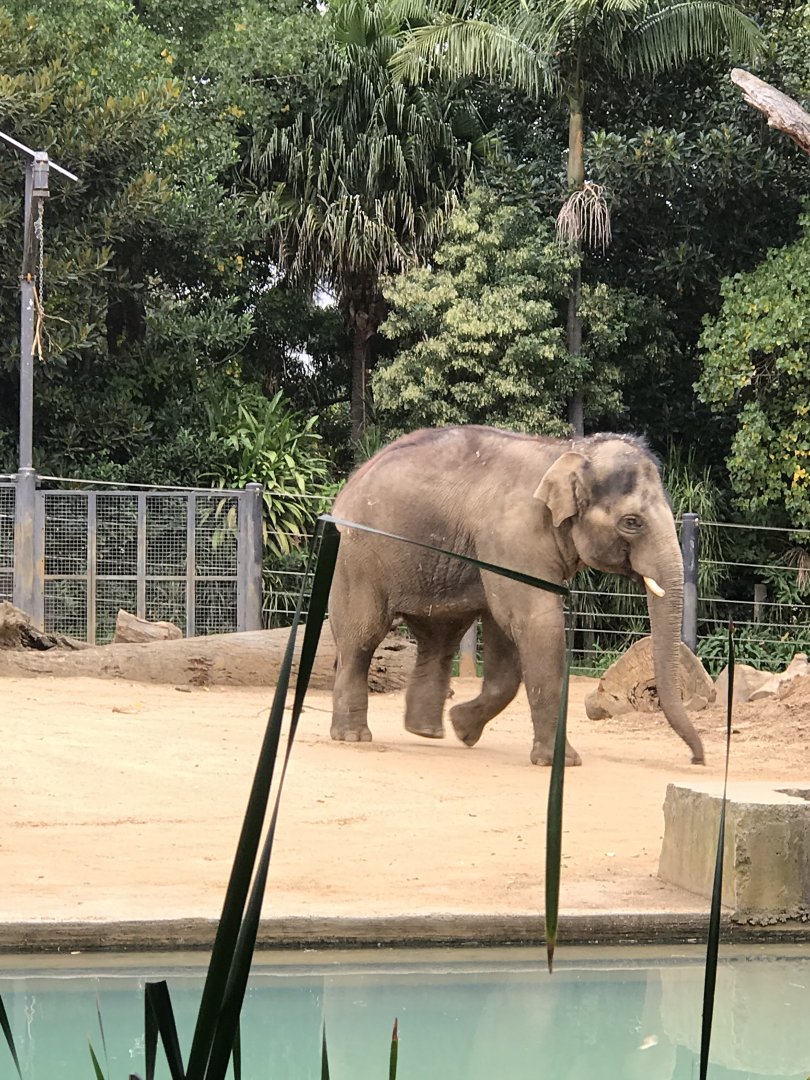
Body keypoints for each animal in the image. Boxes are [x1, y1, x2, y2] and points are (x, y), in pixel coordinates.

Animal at [327, 425, 704, 766]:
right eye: (632, 522)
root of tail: (351, 483)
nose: (696, 759)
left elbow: (505, 638)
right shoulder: (513, 536)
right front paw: (561, 762)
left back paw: (427, 732)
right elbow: (536, 624)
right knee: (362, 637)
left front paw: (463, 728)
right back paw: (353, 736)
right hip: (359, 557)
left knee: (440, 635)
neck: (566, 452)